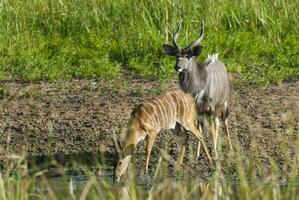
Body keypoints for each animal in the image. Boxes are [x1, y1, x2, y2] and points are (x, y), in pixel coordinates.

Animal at [164, 20, 234, 158]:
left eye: (188, 56)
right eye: (176, 55)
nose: (178, 67)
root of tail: (217, 59)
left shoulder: (210, 107)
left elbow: (211, 130)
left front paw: (215, 155)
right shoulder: (198, 109)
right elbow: (198, 129)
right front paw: (197, 155)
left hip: (223, 104)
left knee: (223, 122)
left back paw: (230, 149)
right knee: (212, 124)